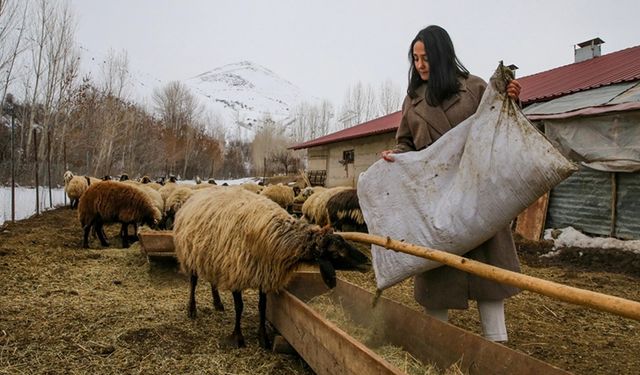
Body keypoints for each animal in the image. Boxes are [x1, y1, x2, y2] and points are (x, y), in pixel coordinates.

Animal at [172, 189, 370, 352]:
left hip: (212, 258)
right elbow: (239, 306)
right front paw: (238, 337)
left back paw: (218, 303)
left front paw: (263, 338)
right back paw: (192, 309)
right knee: (193, 281)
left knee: (213, 280)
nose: (367, 262)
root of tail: (196, 195)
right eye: (336, 252)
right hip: (190, 255)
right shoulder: (237, 272)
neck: (276, 236)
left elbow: (262, 306)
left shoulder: (263, 274)